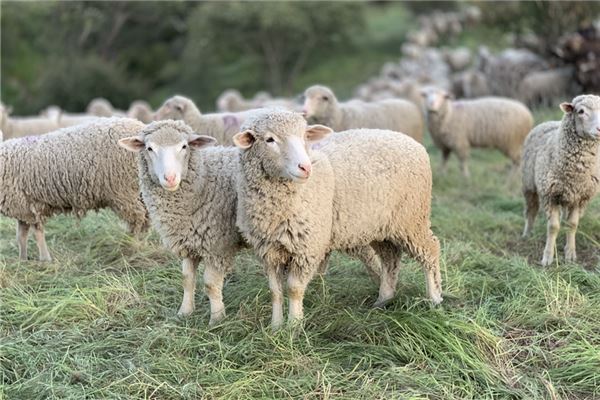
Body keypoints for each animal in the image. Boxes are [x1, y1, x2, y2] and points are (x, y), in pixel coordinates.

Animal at [0, 118, 149, 262]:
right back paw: (142, 241)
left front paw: (44, 259)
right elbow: (21, 236)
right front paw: (23, 260)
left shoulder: (30, 207)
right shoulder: (22, 206)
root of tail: (140, 126)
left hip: (124, 191)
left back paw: (133, 246)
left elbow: (37, 233)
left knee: (138, 218)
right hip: (138, 190)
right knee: (146, 216)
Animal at [233, 109, 440, 328]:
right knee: (390, 258)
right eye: (269, 139)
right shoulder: (268, 250)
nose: (305, 167)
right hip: (380, 225)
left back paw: (434, 298)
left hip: (412, 218)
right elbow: (275, 291)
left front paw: (294, 326)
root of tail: (412, 142)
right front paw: (275, 327)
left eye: (305, 136)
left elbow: (294, 289)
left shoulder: (307, 247)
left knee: (430, 250)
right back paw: (384, 299)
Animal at [520, 95, 600, 268]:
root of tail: (549, 121)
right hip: (529, 185)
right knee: (531, 211)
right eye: (581, 111)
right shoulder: (549, 195)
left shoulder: (580, 197)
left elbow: (572, 224)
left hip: (566, 195)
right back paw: (527, 234)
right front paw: (548, 257)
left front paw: (570, 253)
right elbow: (553, 226)